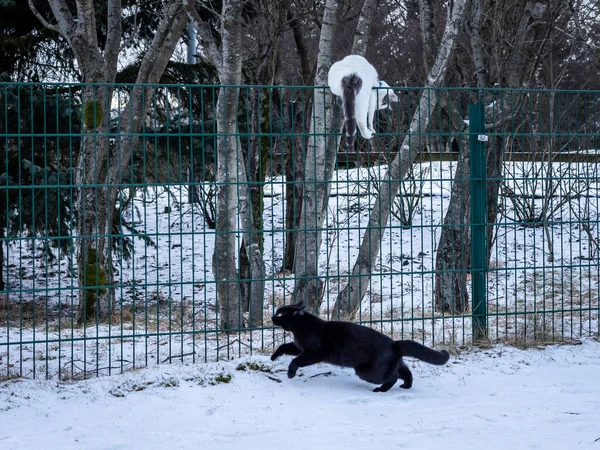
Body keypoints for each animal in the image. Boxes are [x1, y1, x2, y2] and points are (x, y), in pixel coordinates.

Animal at [272, 300, 450, 392]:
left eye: (280, 314)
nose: (273, 317)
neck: (300, 328)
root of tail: (394, 343)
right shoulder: (298, 347)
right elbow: (283, 346)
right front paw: (274, 356)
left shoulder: (313, 353)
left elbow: (295, 361)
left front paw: (290, 374)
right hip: (392, 364)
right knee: (406, 372)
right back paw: (406, 386)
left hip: (367, 372)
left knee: (392, 377)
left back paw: (381, 390)